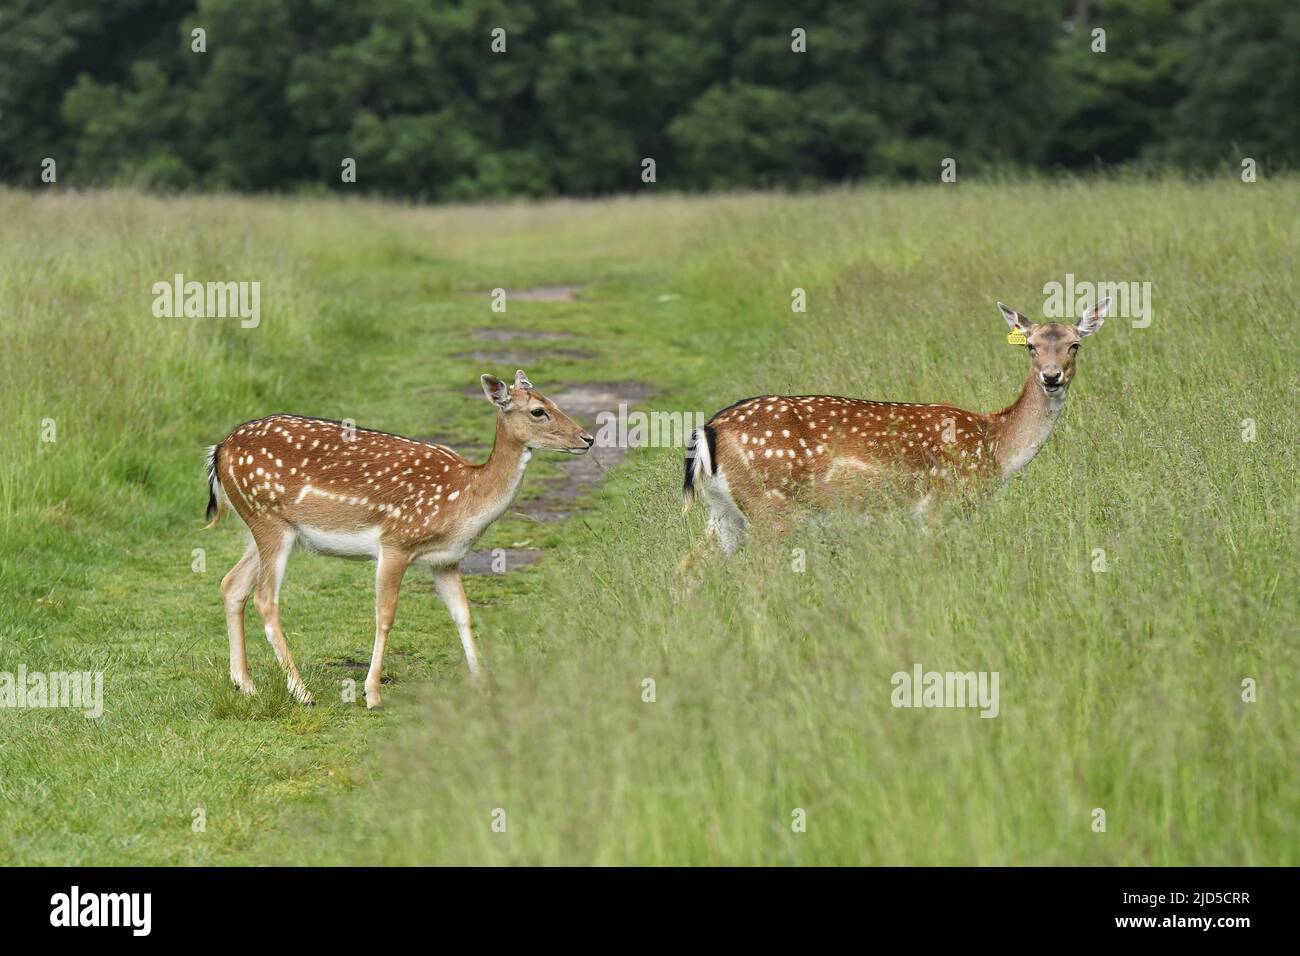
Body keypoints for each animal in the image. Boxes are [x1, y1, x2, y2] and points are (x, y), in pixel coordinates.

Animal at [202, 369, 595, 707]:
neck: (464, 498)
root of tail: (219, 451)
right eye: (538, 411)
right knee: (265, 599)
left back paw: (245, 685)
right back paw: (302, 693)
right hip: (269, 520)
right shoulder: (396, 541)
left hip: (264, 526)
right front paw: (372, 694)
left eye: (554, 401)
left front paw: (484, 684)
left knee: (232, 584)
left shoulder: (446, 559)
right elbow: (385, 615)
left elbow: (463, 614)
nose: (588, 438)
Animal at [681, 297, 1107, 554]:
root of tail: (709, 429)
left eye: (1074, 344)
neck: (994, 447)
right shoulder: (939, 506)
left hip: (723, 511)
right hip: (772, 506)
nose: (1051, 377)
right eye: (1031, 345)